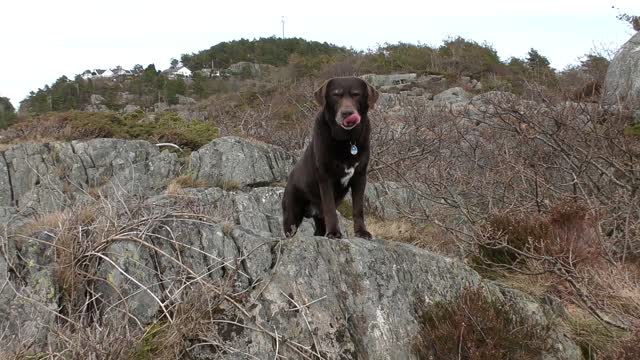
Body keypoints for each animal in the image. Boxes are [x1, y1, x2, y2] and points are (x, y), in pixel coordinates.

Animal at [282, 76, 378, 239]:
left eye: (356, 94)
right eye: (336, 94)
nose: (347, 113)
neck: (347, 140)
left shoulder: (360, 177)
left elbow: (358, 209)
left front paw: (361, 232)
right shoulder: (325, 178)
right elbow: (330, 209)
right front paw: (334, 232)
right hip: (291, 213)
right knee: (289, 230)